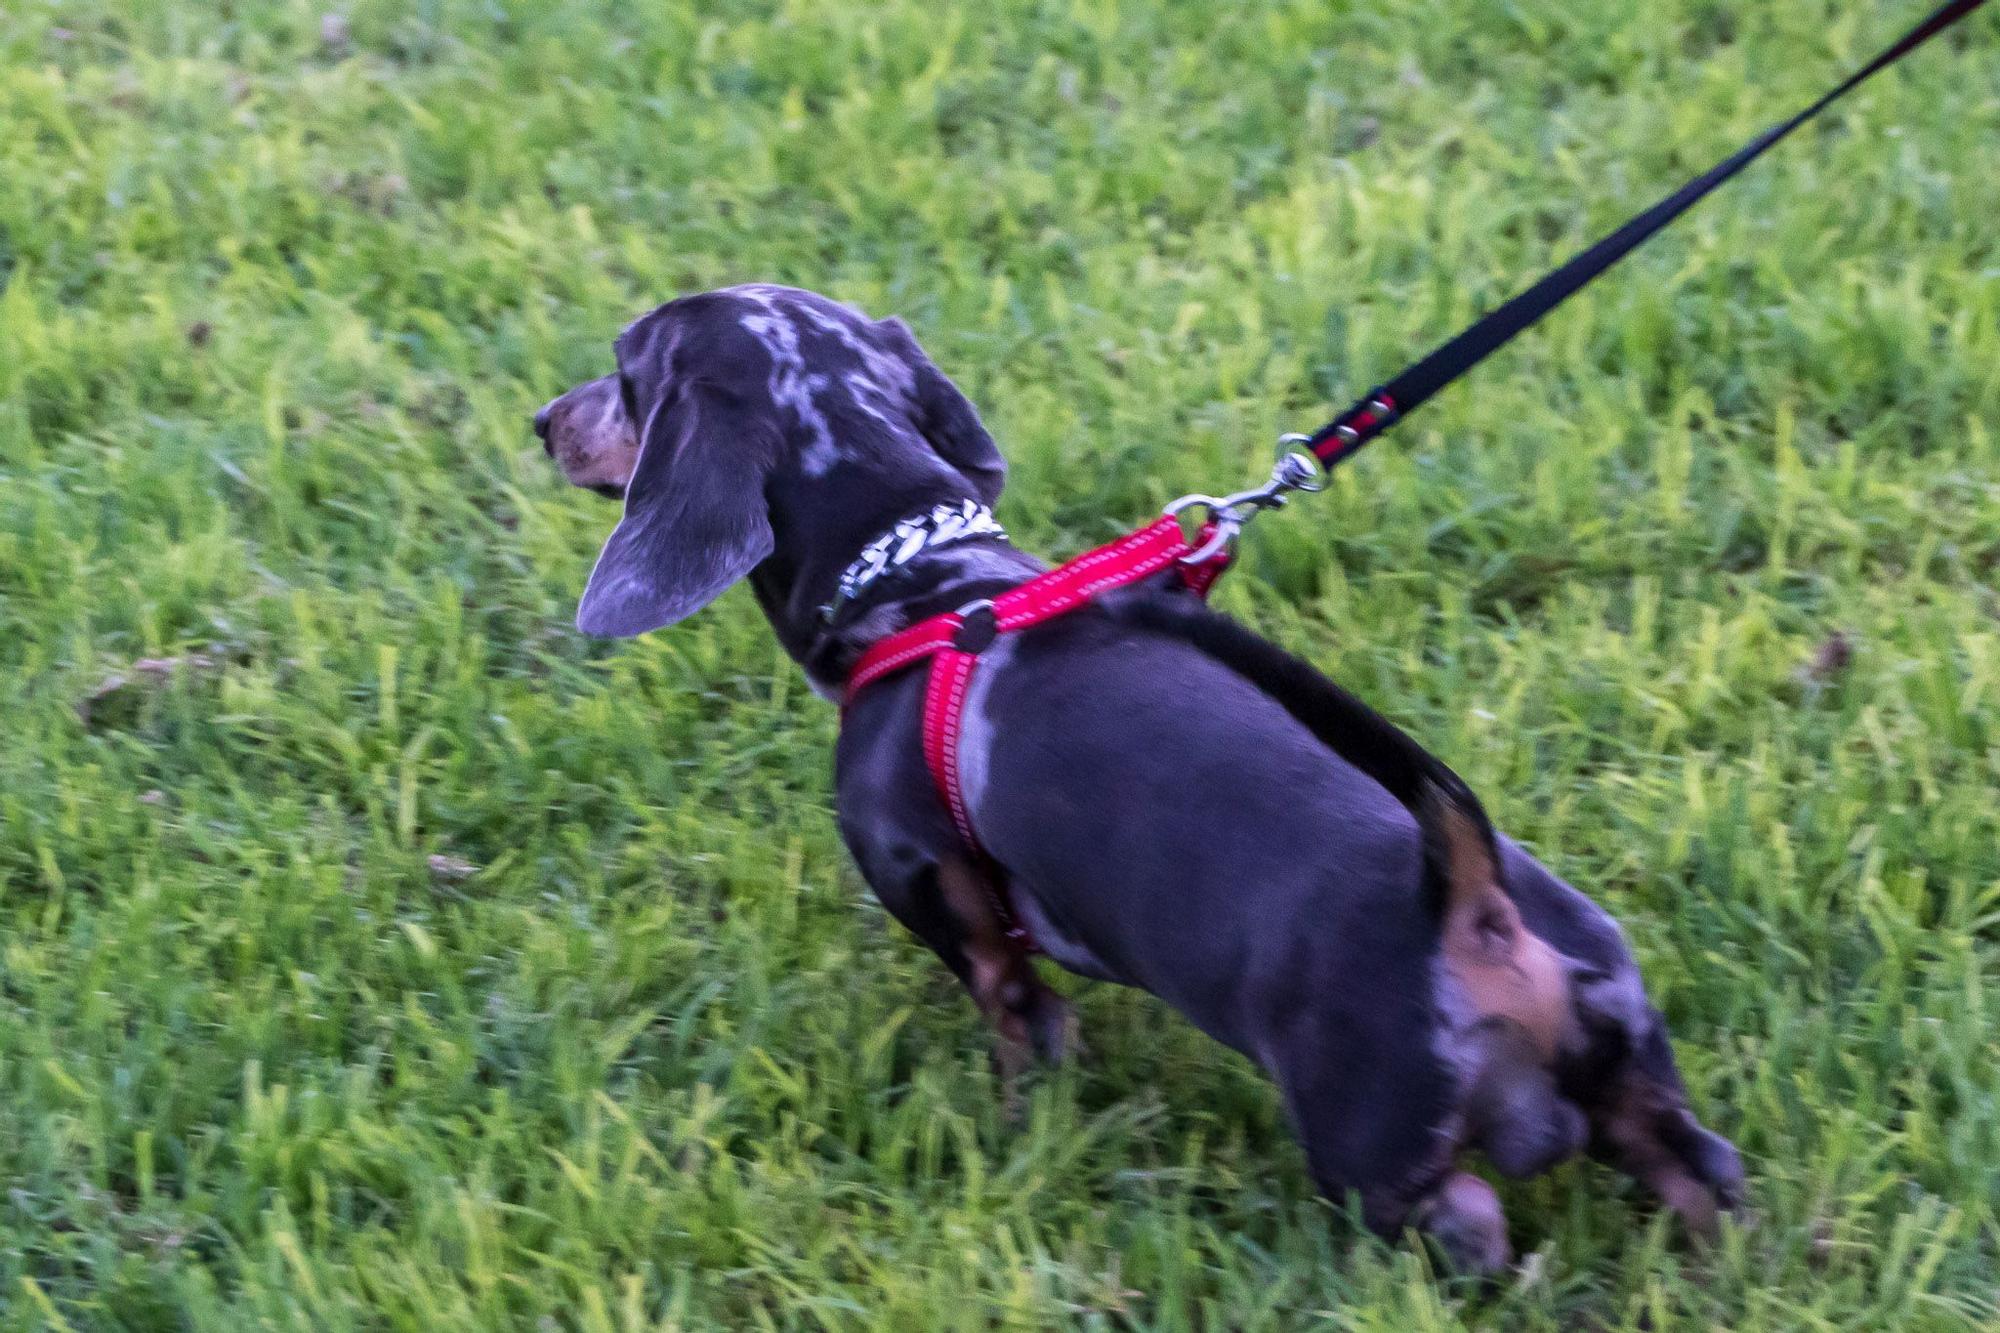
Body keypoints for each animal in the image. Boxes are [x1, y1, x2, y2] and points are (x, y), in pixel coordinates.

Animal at [536, 282, 1736, 1264]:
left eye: (626, 372)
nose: (542, 420)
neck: (922, 581)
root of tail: (1474, 909)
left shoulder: (958, 918)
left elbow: (1020, 1028)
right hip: (1642, 1088)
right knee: (1704, 1175)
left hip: (1379, 1161)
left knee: (1472, 1228)